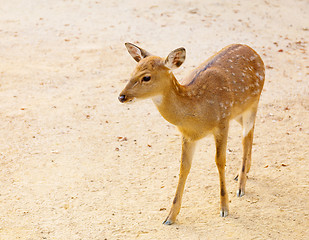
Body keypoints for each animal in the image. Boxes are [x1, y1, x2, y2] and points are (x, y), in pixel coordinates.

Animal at [116, 42, 264, 224]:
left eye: (146, 77)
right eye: (132, 71)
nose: (122, 96)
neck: (196, 110)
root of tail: (251, 49)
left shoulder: (222, 122)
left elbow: (220, 161)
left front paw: (224, 208)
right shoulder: (187, 135)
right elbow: (184, 167)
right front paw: (170, 216)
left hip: (253, 101)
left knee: (246, 136)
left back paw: (241, 186)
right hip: (238, 112)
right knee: (249, 132)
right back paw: (242, 174)